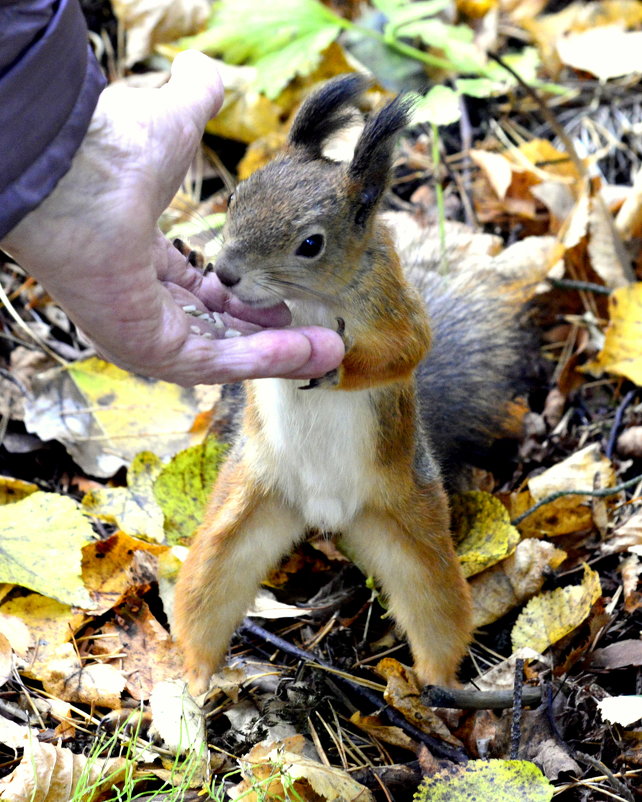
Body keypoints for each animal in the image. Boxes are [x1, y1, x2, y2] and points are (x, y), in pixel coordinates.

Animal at [172, 73, 528, 692]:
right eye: (236, 197)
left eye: (310, 244)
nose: (226, 273)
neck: (311, 299)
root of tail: (326, 514)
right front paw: (207, 297)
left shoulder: (392, 305)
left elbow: (406, 350)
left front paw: (334, 368)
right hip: (245, 507)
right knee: (207, 591)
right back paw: (193, 685)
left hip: (412, 524)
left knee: (436, 609)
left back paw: (437, 692)